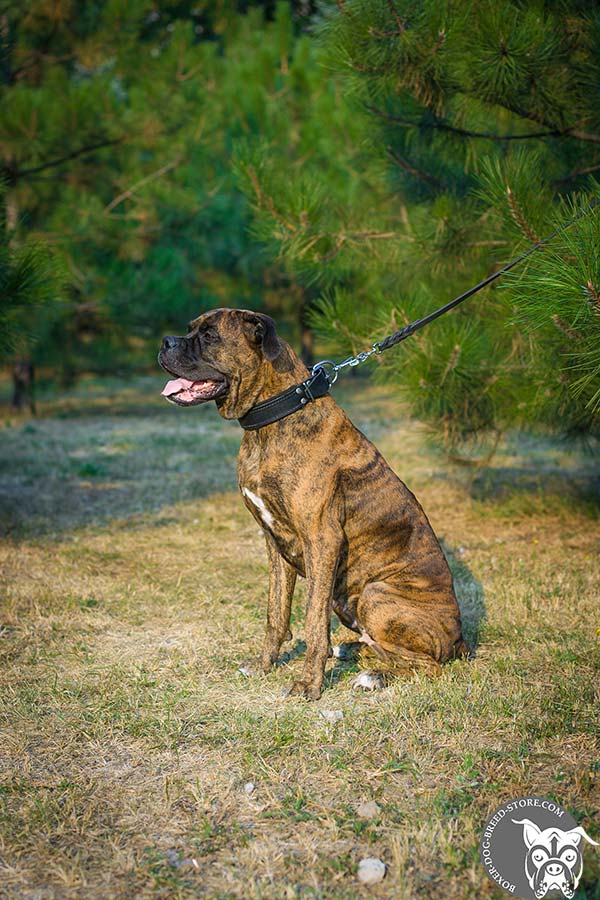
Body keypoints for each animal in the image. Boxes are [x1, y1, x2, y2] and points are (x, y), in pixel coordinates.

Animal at [158, 306, 468, 700]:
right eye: (189, 329)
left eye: (210, 335)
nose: (165, 342)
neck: (273, 417)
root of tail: (460, 639)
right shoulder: (274, 542)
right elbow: (276, 614)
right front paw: (264, 665)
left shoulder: (322, 540)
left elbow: (313, 620)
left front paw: (309, 683)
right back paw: (352, 650)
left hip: (376, 594)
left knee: (428, 666)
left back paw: (374, 676)